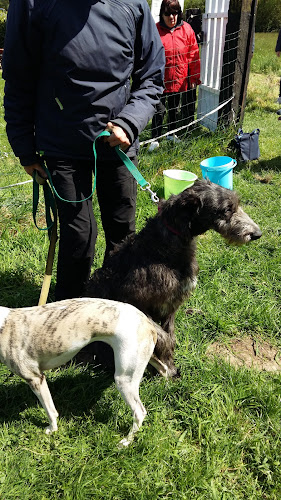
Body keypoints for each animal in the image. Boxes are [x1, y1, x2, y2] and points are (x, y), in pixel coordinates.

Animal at [0, 296, 171, 446]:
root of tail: (146, 321)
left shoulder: (35, 378)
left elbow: (51, 411)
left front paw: (52, 429)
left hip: (124, 378)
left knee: (139, 412)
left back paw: (126, 441)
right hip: (142, 359)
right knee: (163, 368)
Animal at [82, 178, 260, 370]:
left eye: (236, 204)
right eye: (227, 209)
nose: (257, 234)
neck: (164, 247)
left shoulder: (173, 302)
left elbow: (169, 333)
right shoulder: (134, 302)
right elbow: (162, 336)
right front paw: (167, 363)